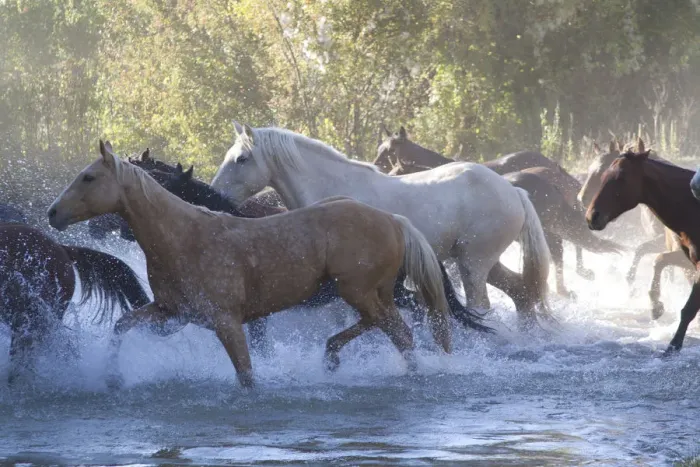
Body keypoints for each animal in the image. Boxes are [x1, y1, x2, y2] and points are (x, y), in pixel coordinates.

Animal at [48, 140, 453, 388]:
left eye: (89, 177)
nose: (53, 214)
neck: (183, 235)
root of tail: (393, 220)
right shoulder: (172, 313)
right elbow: (122, 326)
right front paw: (113, 378)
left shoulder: (229, 322)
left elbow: (246, 375)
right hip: (371, 295)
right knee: (391, 329)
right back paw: (335, 357)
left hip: (361, 292)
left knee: (399, 332)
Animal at [212, 124, 552, 326]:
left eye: (242, 159)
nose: (216, 193)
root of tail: (514, 191)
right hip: (480, 262)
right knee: (521, 293)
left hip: (474, 264)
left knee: (482, 305)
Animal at [586, 142, 700, 354]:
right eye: (604, 175)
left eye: (621, 178)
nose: (591, 216)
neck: (694, 208)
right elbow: (659, 262)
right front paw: (656, 306)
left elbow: (688, 308)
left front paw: (672, 345)